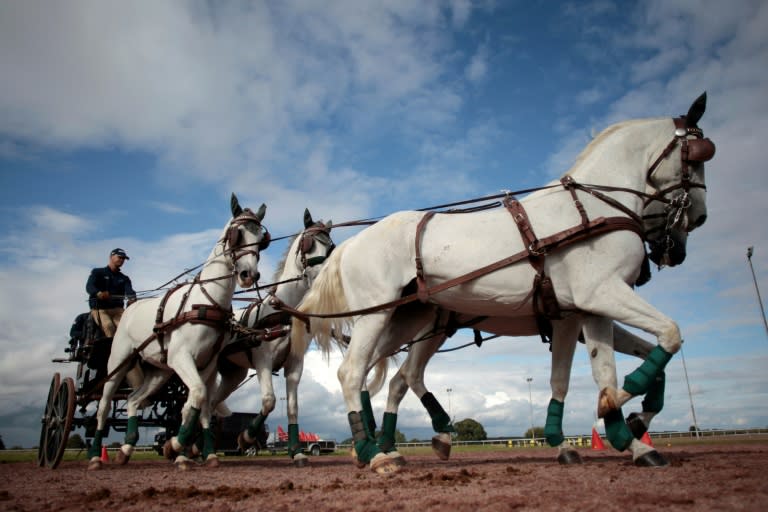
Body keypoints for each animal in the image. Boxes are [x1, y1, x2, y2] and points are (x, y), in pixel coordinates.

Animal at [85, 194, 268, 470]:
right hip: (119, 361)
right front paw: (177, 446)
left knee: (134, 399)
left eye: (261, 238)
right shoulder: (182, 357)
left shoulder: (207, 365)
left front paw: (204, 453)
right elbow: (199, 395)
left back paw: (126, 448)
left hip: (160, 371)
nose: (249, 274)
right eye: (236, 234)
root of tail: (130, 306)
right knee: (104, 405)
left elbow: (202, 404)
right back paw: (96, 456)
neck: (206, 301)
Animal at [212, 209, 334, 468]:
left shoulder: (295, 365)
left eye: (330, 247)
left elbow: (292, 407)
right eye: (308, 244)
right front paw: (246, 438)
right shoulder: (263, 362)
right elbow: (269, 401)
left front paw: (296, 452)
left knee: (212, 404)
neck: (284, 312)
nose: (323, 276)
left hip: (233, 374)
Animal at [292, 94, 712, 474]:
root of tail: (350, 245)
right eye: (699, 154)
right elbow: (669, 334)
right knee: (353, 373)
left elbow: (590, 374)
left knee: (383, 375)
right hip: (380, 318)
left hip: (405, 321)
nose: (699, 220)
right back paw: (375, 453)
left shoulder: (585, 312)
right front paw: (627, 406)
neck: (592, 209)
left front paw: (627, 433)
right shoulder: (601, 294)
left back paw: (391, 444)